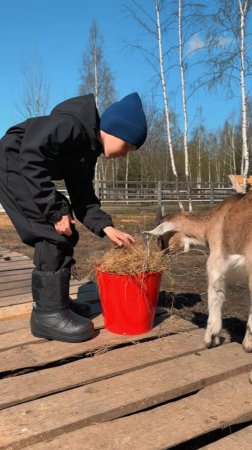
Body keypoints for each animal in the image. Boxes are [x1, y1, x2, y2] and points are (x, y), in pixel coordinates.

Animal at [144, 192, 252, 382]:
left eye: (160, 237)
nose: (161, 253)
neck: (213, 222)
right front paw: (247, 345)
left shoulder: (216, 265)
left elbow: (215, 297)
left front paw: (211, 338)